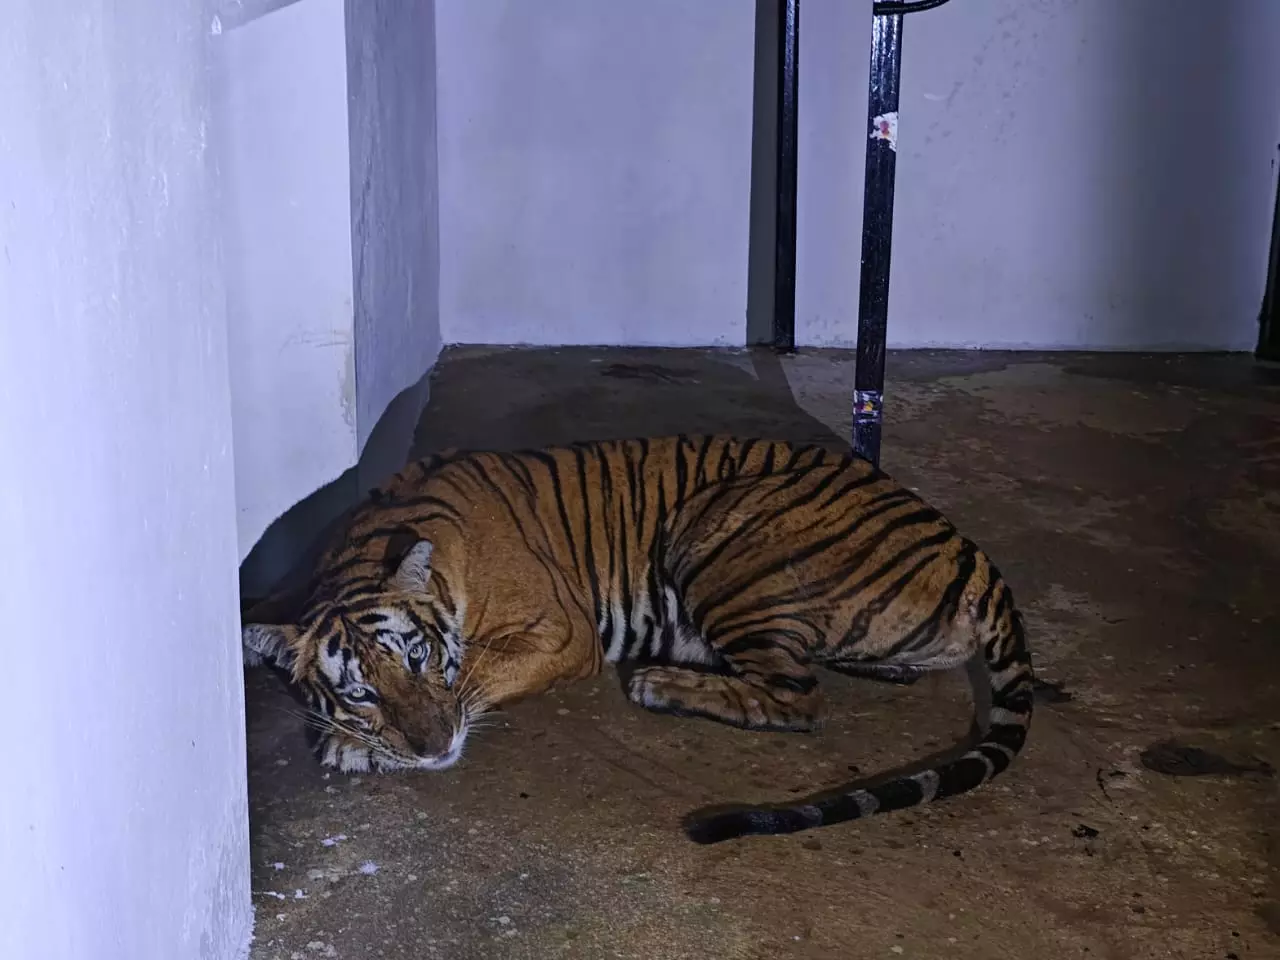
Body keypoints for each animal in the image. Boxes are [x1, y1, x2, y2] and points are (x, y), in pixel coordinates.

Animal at [243, 435, 1035, 843]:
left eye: (418, 657)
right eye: (361, 692)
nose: (435, 749)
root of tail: (970, 551)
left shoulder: (561, 635)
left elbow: (474, 679)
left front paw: (352, 748)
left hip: (717, 530)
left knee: (798, 697)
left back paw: (663, 681)